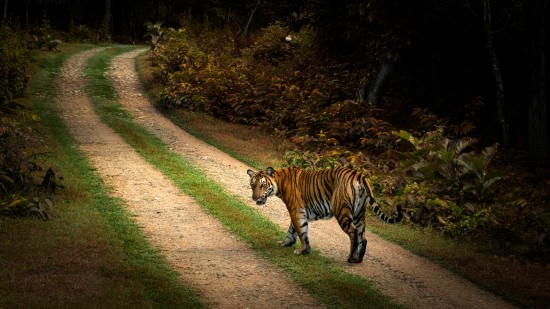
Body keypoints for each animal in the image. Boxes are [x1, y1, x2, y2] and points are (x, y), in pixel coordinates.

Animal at [248, 166, 404, 262]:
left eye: (263, 185)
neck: (279, 182)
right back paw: (358, 259)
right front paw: (286, 243)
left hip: (342, 210)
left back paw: (351, 258)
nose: (255, 198)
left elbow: (301, 231)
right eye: (252, 185)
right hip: (359, 214)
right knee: (363, 236)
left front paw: (302, 250)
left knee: (353, 232)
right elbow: (292, 230)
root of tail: (358, 174)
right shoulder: (297, 211)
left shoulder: (296, 210)